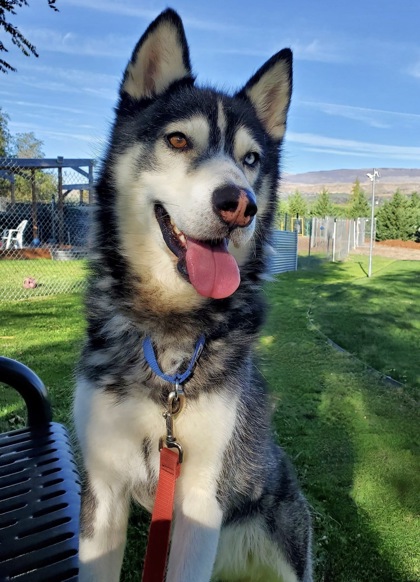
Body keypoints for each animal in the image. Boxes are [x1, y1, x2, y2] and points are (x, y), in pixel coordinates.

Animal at [74, 8, 312, 582]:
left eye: (251, 158)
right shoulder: (102, 486)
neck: (167, 339)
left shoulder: (203, 499)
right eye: (179, 141)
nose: (240, 205)